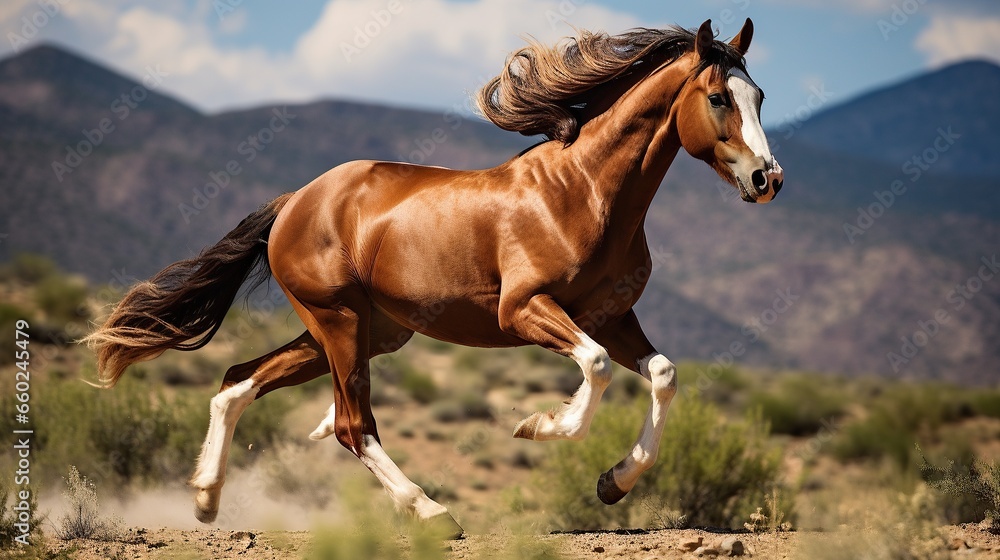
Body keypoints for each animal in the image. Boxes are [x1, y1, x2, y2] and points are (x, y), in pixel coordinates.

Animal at [85, 18, 782, 535]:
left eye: (760, 96)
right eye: (718, 97)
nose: (766, 179)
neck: (581, 193)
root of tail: (295, 202)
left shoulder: (611, 316)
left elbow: (661, 374)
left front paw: (614, 482)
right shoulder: (525, 310)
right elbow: (597, 367)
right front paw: (539, 426)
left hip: (367, 330)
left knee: (237, 381)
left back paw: (205, 498)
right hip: (339, 322)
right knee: (352, 425)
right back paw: (432, 512)